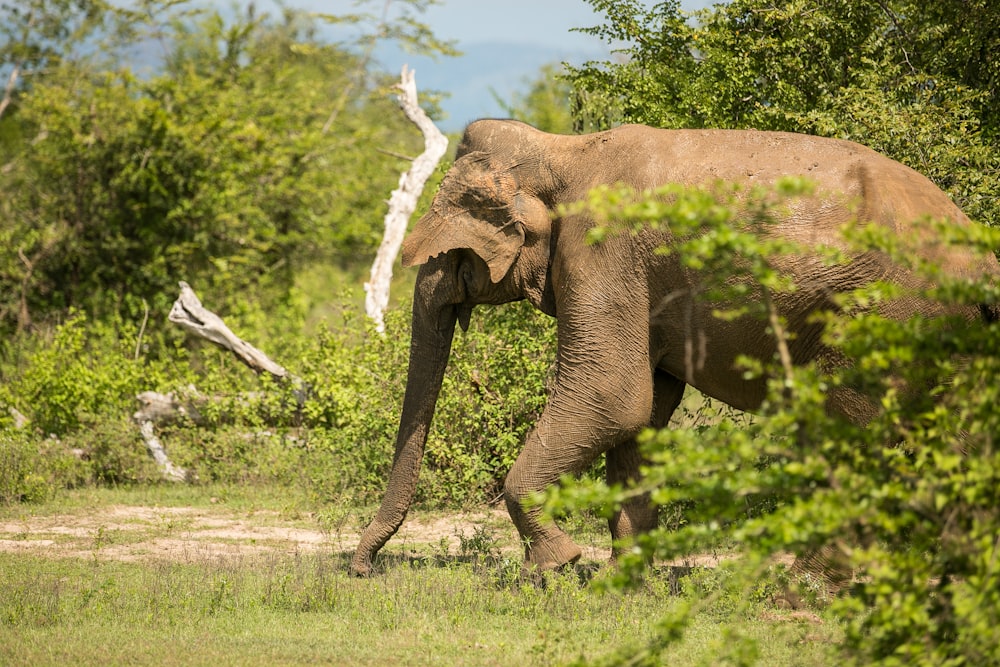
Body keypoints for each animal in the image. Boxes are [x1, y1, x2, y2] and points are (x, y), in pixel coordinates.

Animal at [348, 117, 996, 576]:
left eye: (451, 252)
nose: (362, 569)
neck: (563, 150)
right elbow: (644, 413)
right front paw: (620, 584)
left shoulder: (601, 253)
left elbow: (612, 398)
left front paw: (560, 565)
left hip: (878, 315)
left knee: (847, 427)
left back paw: (800, 592)